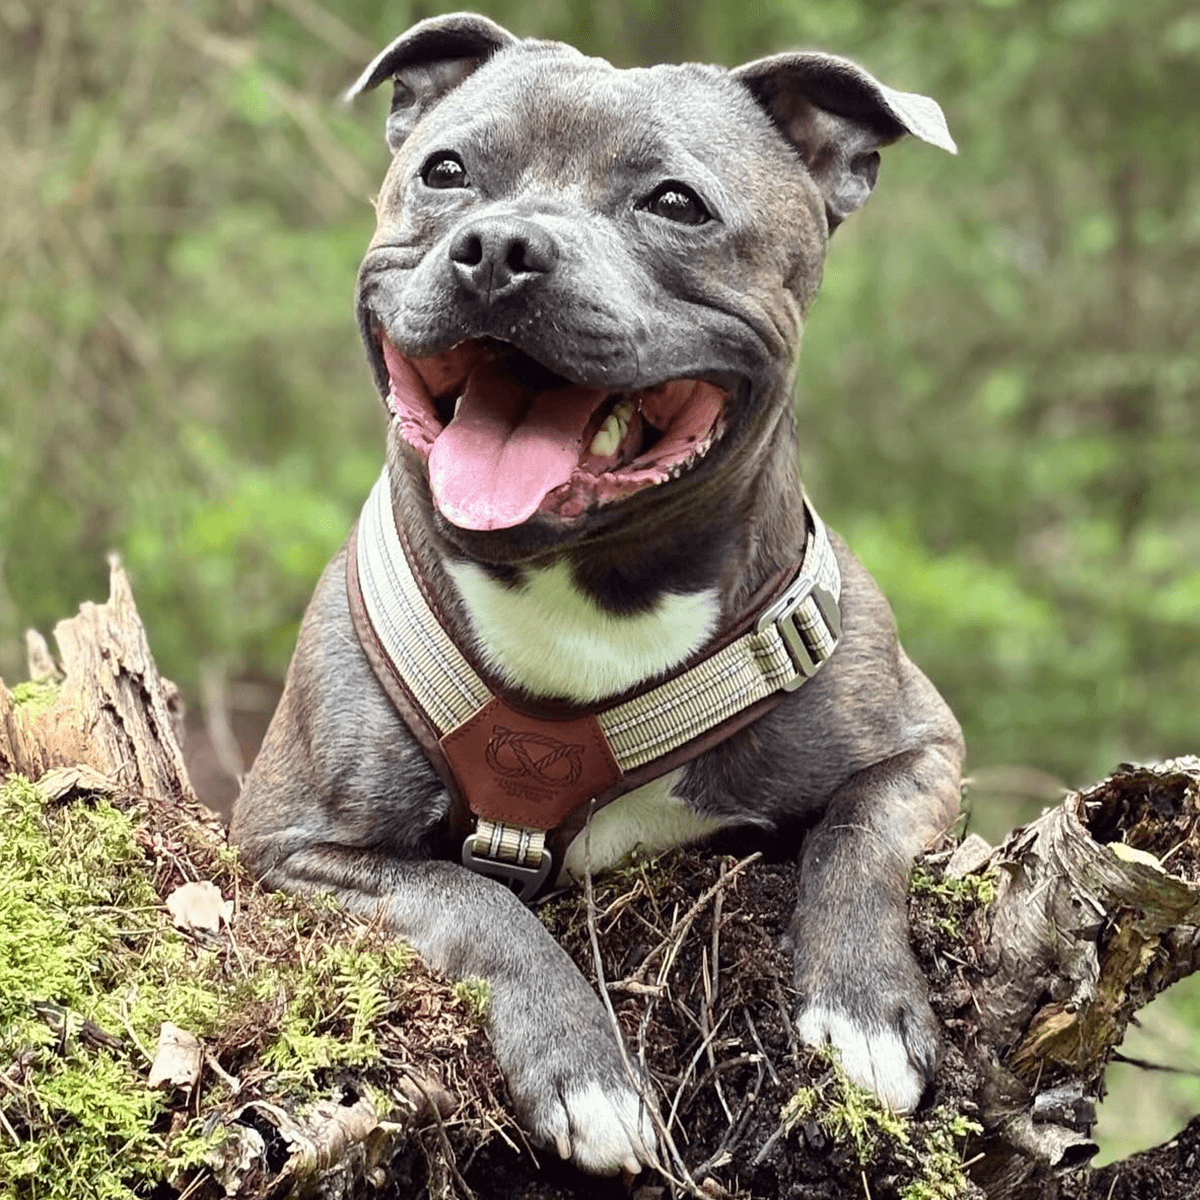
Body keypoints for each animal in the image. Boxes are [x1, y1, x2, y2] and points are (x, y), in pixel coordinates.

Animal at [234, 14, 964, 1176]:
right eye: (447, 171)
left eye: (676, 202)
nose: (497, 249)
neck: (583, 588)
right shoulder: (295, 844)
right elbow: (474, 901)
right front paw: (584, 1068)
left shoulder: (922, 745)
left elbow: (860, 834)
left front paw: (864, 1007)